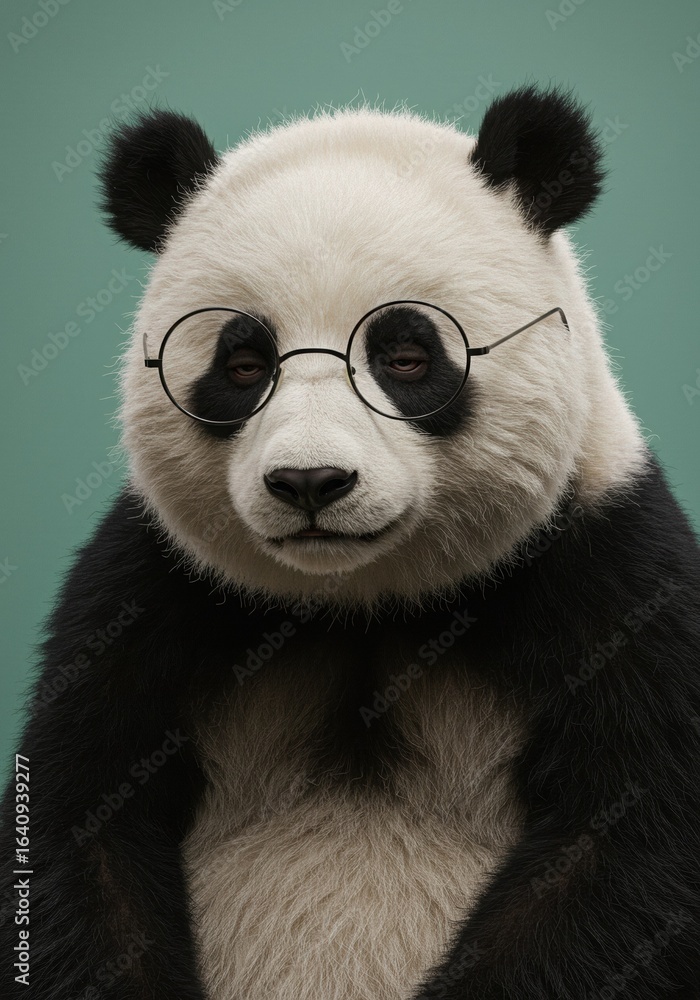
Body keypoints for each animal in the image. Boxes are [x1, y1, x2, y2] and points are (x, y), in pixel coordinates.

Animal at [1, 85, 700, 1000]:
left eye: (405, 355)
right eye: (242, 365)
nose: (309, 483)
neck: (363, 601)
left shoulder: (607, 574)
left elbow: (622, 849)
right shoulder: (148, 594)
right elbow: (84, 832)